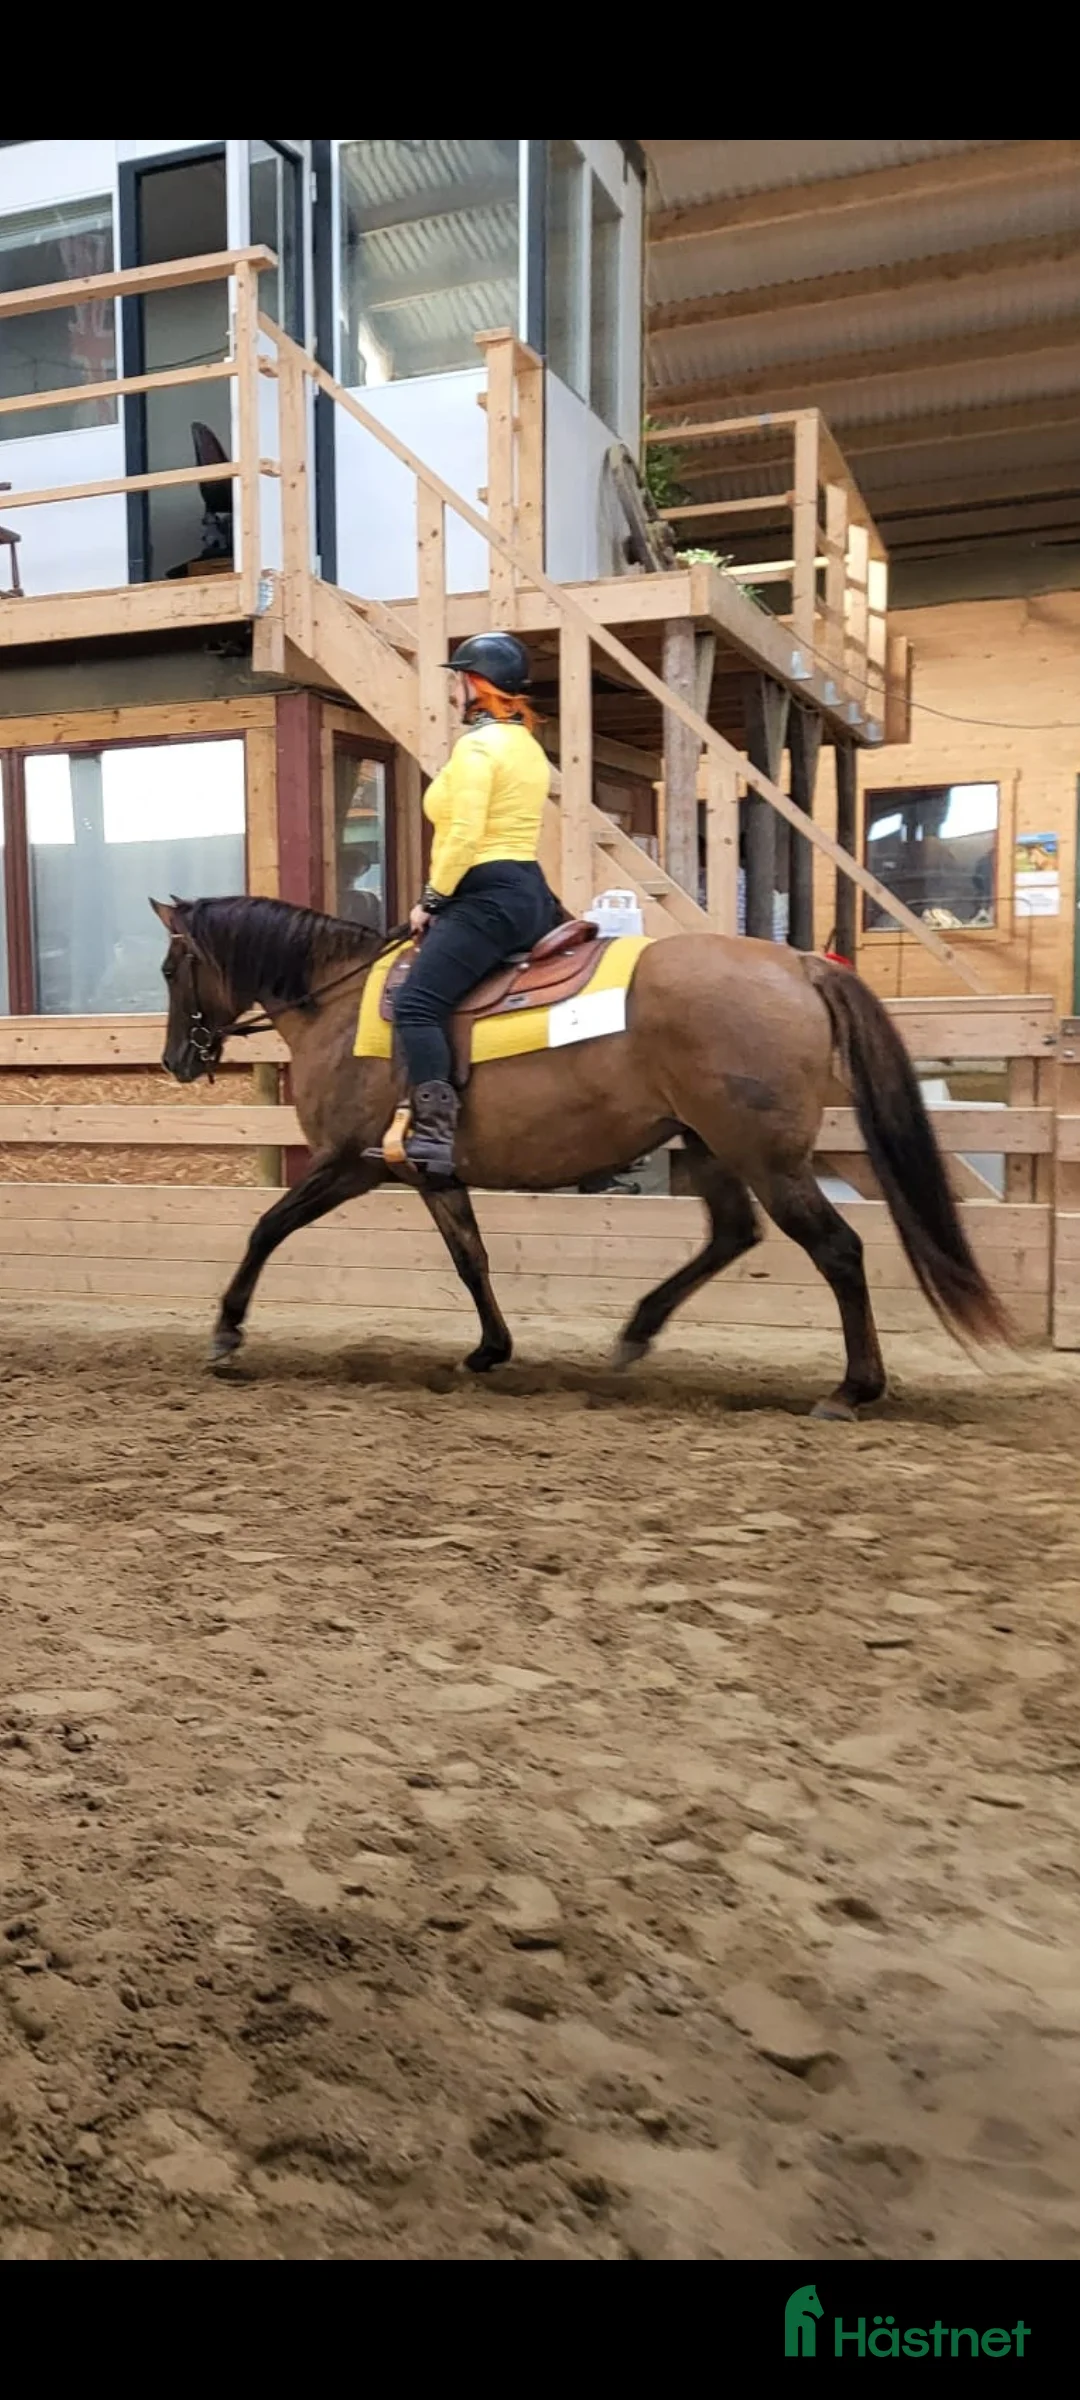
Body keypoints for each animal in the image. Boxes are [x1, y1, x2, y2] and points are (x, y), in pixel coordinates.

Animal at [149, 895, 1009, 1417]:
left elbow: (267, 1227)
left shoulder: (351, 1163)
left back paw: (852, 1388)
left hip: (764, 1157)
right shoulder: (429, 1170)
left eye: (168, 967)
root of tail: (798, 963)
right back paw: (636, 1333)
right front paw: (489, 1350)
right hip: (709, 1145)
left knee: (836, 1248)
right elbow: (471, 1257)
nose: (175, 1060)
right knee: (734, 1234)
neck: (339, 1003)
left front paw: (226, 1331)